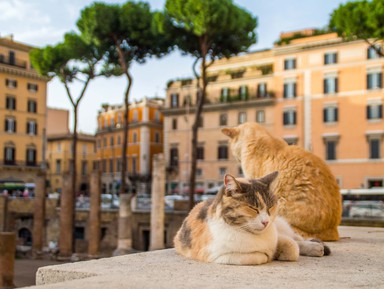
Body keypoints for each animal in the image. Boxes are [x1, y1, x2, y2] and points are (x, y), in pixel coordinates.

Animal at [174, 170, 328, 264]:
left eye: (270, 207)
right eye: (253, 208)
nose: (266, 222)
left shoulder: (277, 235)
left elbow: (292, 246)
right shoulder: (219, 256)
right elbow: (258, 256)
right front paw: (272, 255)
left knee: (296, 238)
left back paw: (315, 245)